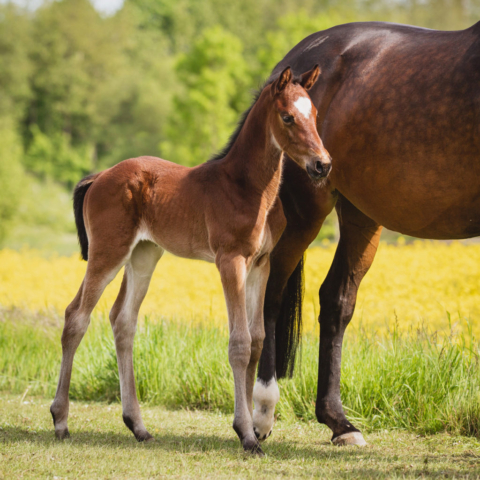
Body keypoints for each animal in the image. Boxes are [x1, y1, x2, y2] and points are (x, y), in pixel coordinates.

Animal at [50, 65, 332, 456]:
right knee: (76, 316)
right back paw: (61, 420)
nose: (322, 164)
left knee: (123, 321)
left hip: (144, 255)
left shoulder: (261, 264)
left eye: (316, 115)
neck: (247, 187)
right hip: (108, 251)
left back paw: (138, 426)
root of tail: (99, 176)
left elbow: (257, 339)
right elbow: (240, 343)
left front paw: (252, 428)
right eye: (288, 116)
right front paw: (247, 434)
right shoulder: (230, 260)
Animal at [251, 19, 480, 446]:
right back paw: (262, 413)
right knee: (271, 294)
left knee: (336, 301)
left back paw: (340, 422)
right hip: (303, 215)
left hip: (361, 216)